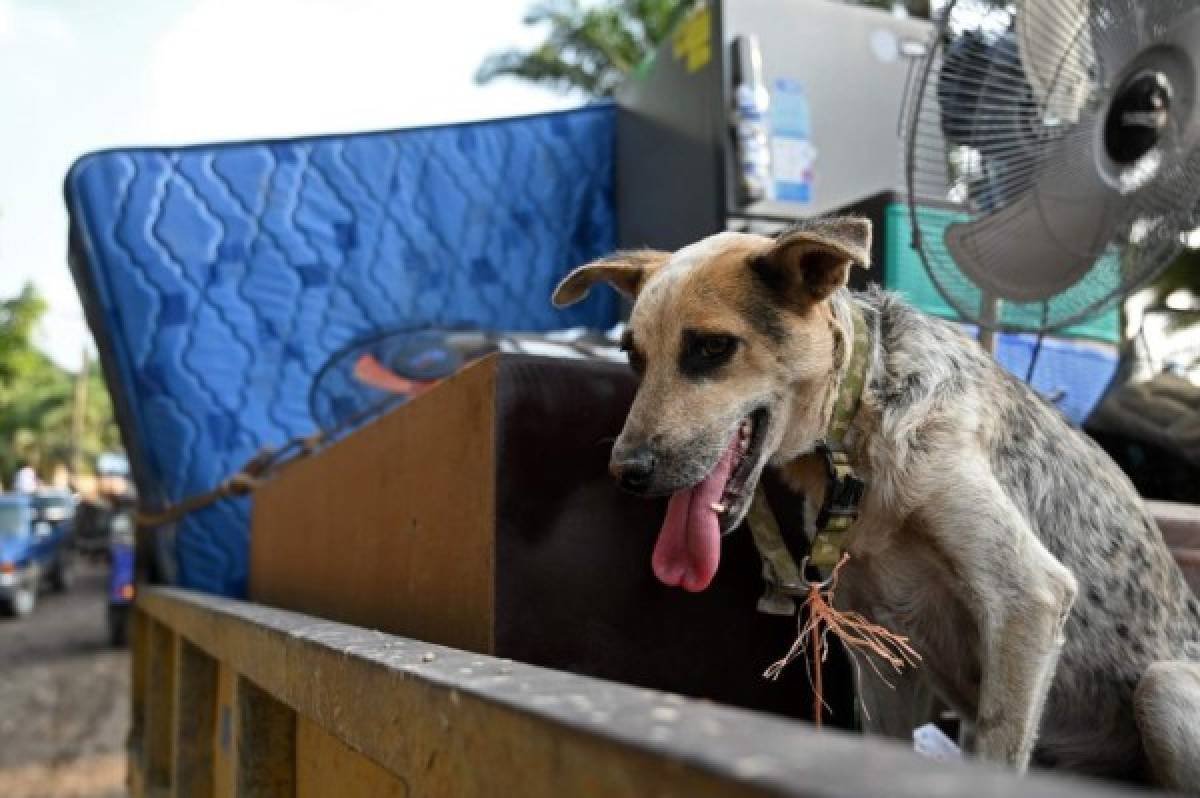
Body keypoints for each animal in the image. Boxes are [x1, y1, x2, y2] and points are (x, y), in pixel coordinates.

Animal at [552, 218, 1200, 792]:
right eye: (633, 357)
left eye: (712, 348)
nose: (626, 473)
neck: (858, 422)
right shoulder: (881, 648)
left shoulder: (1028, 598)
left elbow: (997, 751)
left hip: (1163, 688)